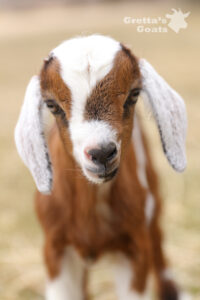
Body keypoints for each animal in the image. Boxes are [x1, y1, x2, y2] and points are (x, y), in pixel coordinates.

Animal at [15, 35, 188, 300]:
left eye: (134, 94)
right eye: (52, 105)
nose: (101, 153)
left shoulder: (134, 250)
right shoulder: (55, 249)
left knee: (158, 239)